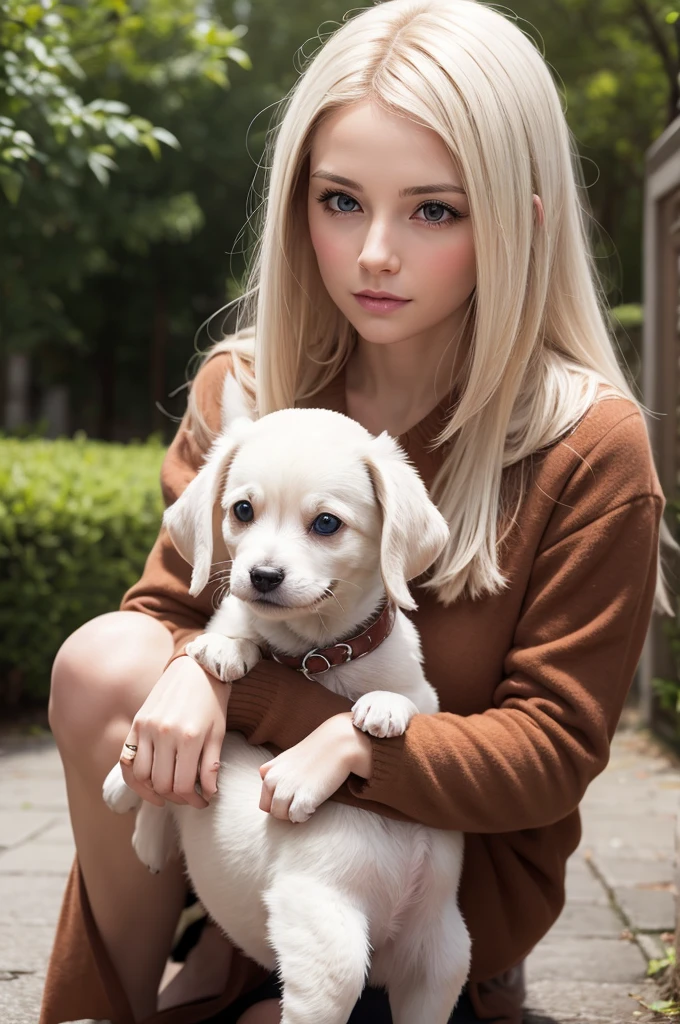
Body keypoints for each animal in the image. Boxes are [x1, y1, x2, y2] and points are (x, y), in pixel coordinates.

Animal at [103, 378, 471, 1024]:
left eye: (326, 523)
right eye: (242, 510)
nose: (264, 576)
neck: (314, 657)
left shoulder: (424, 692)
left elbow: (410, 701)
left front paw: (380, 707)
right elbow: (212, 646)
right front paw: (228, 647)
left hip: (419, 958)